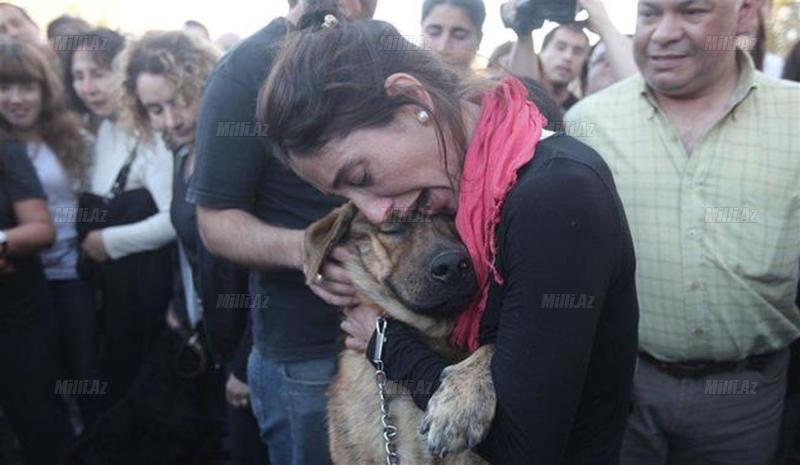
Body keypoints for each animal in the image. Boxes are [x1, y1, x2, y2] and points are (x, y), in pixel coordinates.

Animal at [304, 203, 494, 464]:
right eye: (393, 226)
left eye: (452, 214)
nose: (454, 265)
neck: (432, 337)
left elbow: (492, 347)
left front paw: (461, 405)